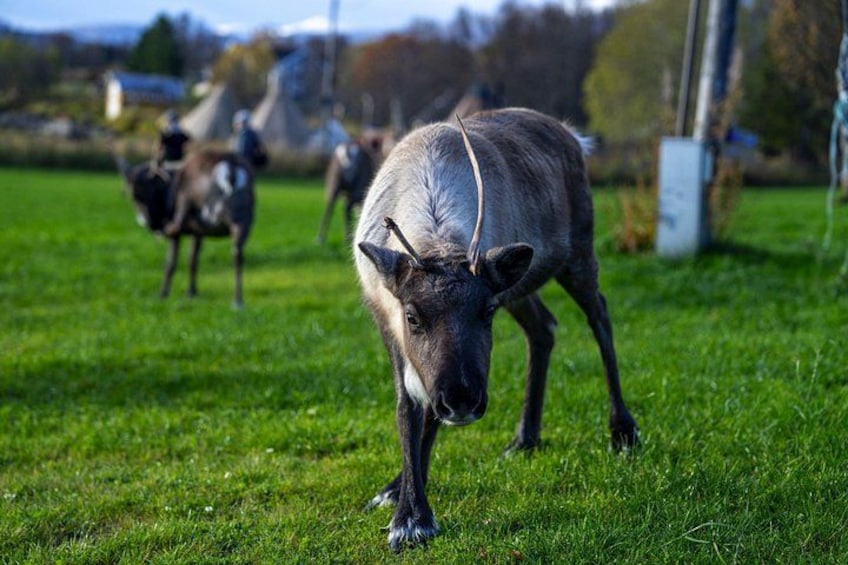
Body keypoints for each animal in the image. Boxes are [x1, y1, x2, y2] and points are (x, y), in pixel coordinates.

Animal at [118, 149, 255, 308]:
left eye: (144, 193)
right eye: (130, 195)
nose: (149, 223)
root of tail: (230, 169)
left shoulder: (182, 232)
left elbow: (171, 263)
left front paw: (163, 294)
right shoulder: (198, 232)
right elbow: (192, 260)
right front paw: (192, 292)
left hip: (190, 202)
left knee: (177, 224)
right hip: (243, 220)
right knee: (238, 255)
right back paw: (238, 300)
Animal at [353, 108, 639, 550]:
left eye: (486, 312)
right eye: (412, 316)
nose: (462, 400)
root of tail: (571, 135)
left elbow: (427, 412)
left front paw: (413, 517)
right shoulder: (386, 318)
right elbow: (409, 406)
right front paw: (401, 498)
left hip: (577, 251)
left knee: (600, 316)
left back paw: (622, 431)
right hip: (519, 286)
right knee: (544, 328)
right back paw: (524, 438)